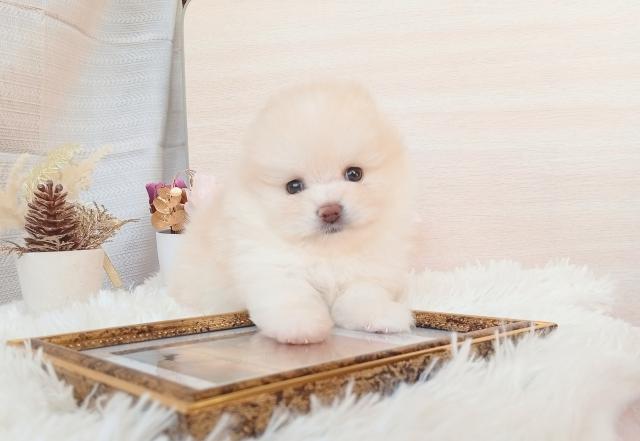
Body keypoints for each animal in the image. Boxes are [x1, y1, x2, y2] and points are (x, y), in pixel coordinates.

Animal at [169, 81, 416, 344]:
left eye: (354, 174)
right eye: (293, 186)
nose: (330, 211)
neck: (328, 251)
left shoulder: (370, 272)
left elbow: (363, 296)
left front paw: (381, 316)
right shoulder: (271, 266)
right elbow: (294, 296)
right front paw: (301, 327)